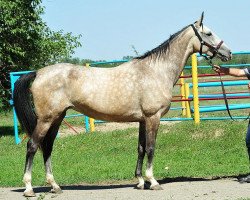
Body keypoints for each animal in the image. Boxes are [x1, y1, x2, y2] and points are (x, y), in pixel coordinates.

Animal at [13, 13, 231, 198]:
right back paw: (29, 188)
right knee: (33, 146)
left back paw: (55, 186)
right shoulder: (153, 118)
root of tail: (38, 73)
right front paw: (153, 181)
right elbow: (151, 148)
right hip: (46, 119)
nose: (228, 52)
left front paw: (140, 181)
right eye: (208, 33)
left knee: (47, 147)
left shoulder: (142, 120)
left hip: (58, 118)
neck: (155, 71)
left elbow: (140, 148)